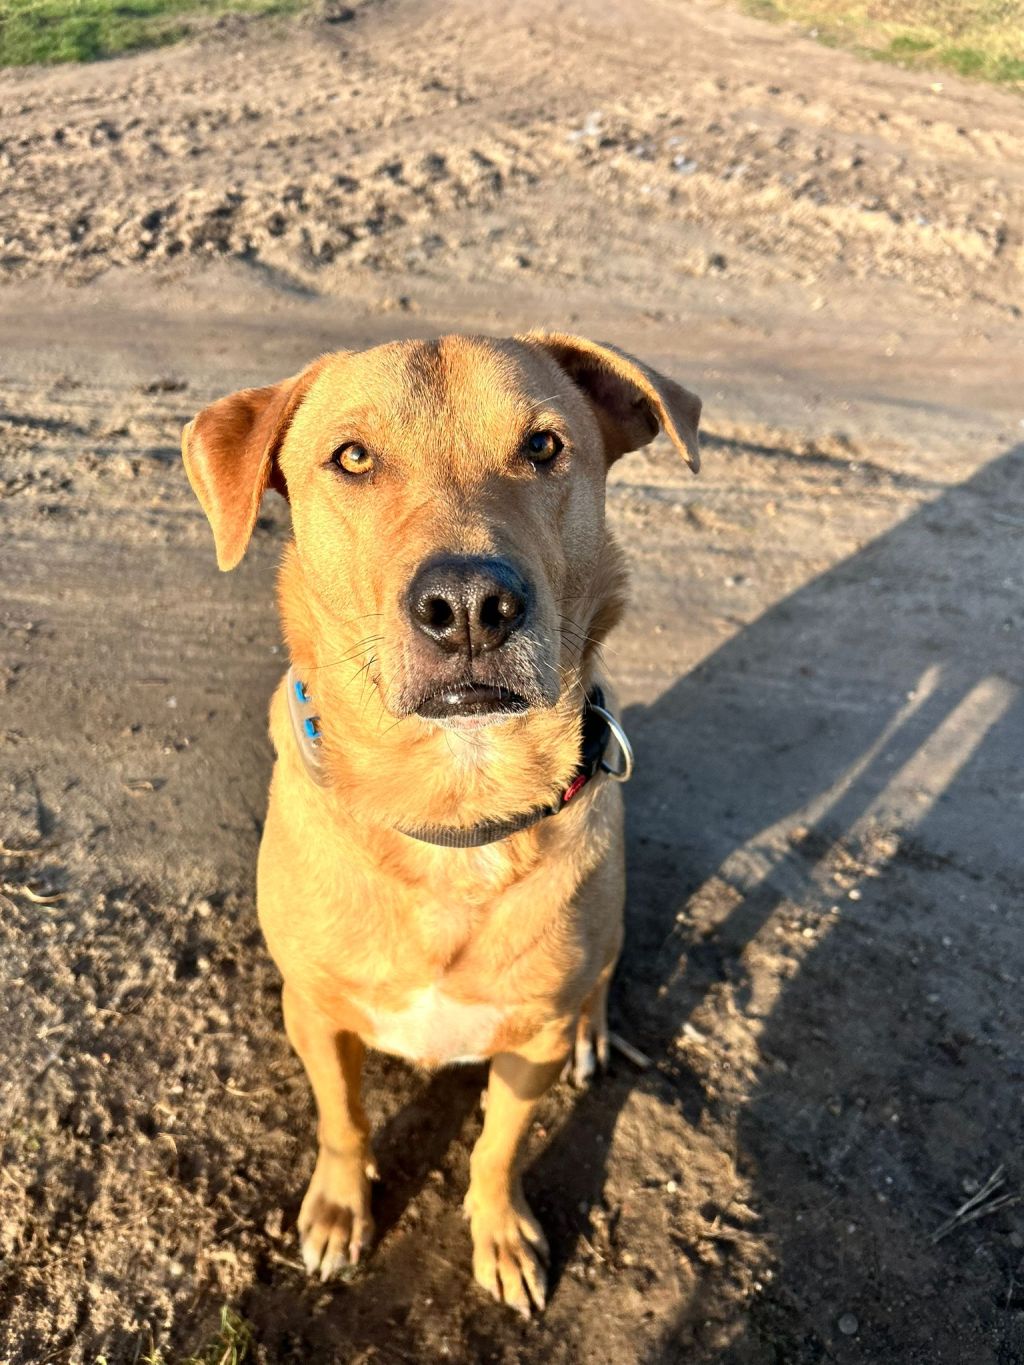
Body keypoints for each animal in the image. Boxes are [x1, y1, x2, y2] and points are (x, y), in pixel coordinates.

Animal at [181, 332, 700, 1315]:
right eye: (352, 457)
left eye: (544, 446)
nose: (468, 606)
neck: (453, 808)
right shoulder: (313, 1008)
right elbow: (343, 1119)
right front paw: (340, 1208)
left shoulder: (529, 1040)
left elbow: (499, 1144)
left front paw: (501, 1233)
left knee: (601, 977)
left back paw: (596, 1031)